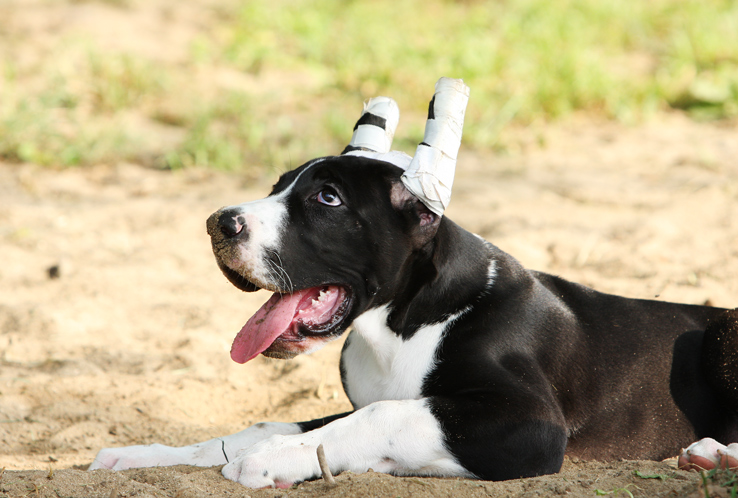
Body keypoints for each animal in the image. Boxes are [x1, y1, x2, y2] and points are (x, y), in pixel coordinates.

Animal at [92, 79, 736, 486]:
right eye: (278, 186)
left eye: (327, 199)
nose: (217, 223)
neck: (400, 324)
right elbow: (269, 424)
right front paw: (146, 454)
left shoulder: (527, 422)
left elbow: (382, 416)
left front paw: (276, 458)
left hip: (722, 334)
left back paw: (715, 457)